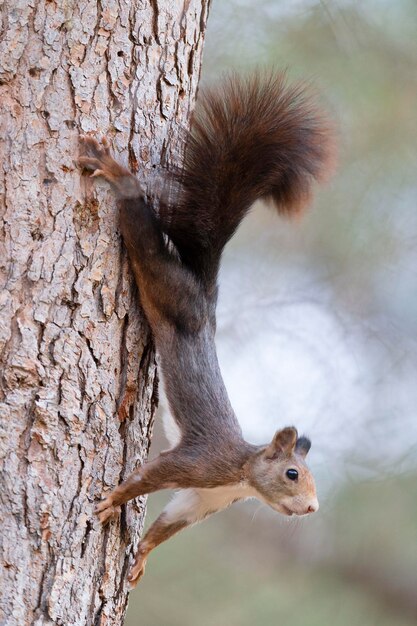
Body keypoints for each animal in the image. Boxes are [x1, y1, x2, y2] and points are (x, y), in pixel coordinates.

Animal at [77, 72, 332, 584]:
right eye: (293, 474)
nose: (313, 508)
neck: (241, 478)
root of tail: (204, 294)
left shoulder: (202, 499)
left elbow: (168, 523)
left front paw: (141, 556)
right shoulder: (199, 465)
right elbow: (147, 477)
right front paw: (113, 500)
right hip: (165, 287)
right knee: (143, 235)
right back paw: (117, 175)